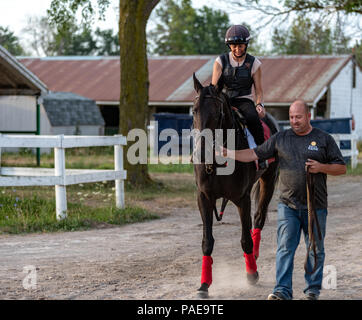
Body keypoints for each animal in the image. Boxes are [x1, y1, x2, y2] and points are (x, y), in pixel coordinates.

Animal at [192, 73, 280, 298]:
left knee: (258, 219)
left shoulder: (242, 198)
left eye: (218, 112)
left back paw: (254, 257)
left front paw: (252, 274)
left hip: (268, 181)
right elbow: (207, 242)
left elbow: (245, 239)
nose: (202, 150)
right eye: (194, 110)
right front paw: (204, 285)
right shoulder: (204, 198)